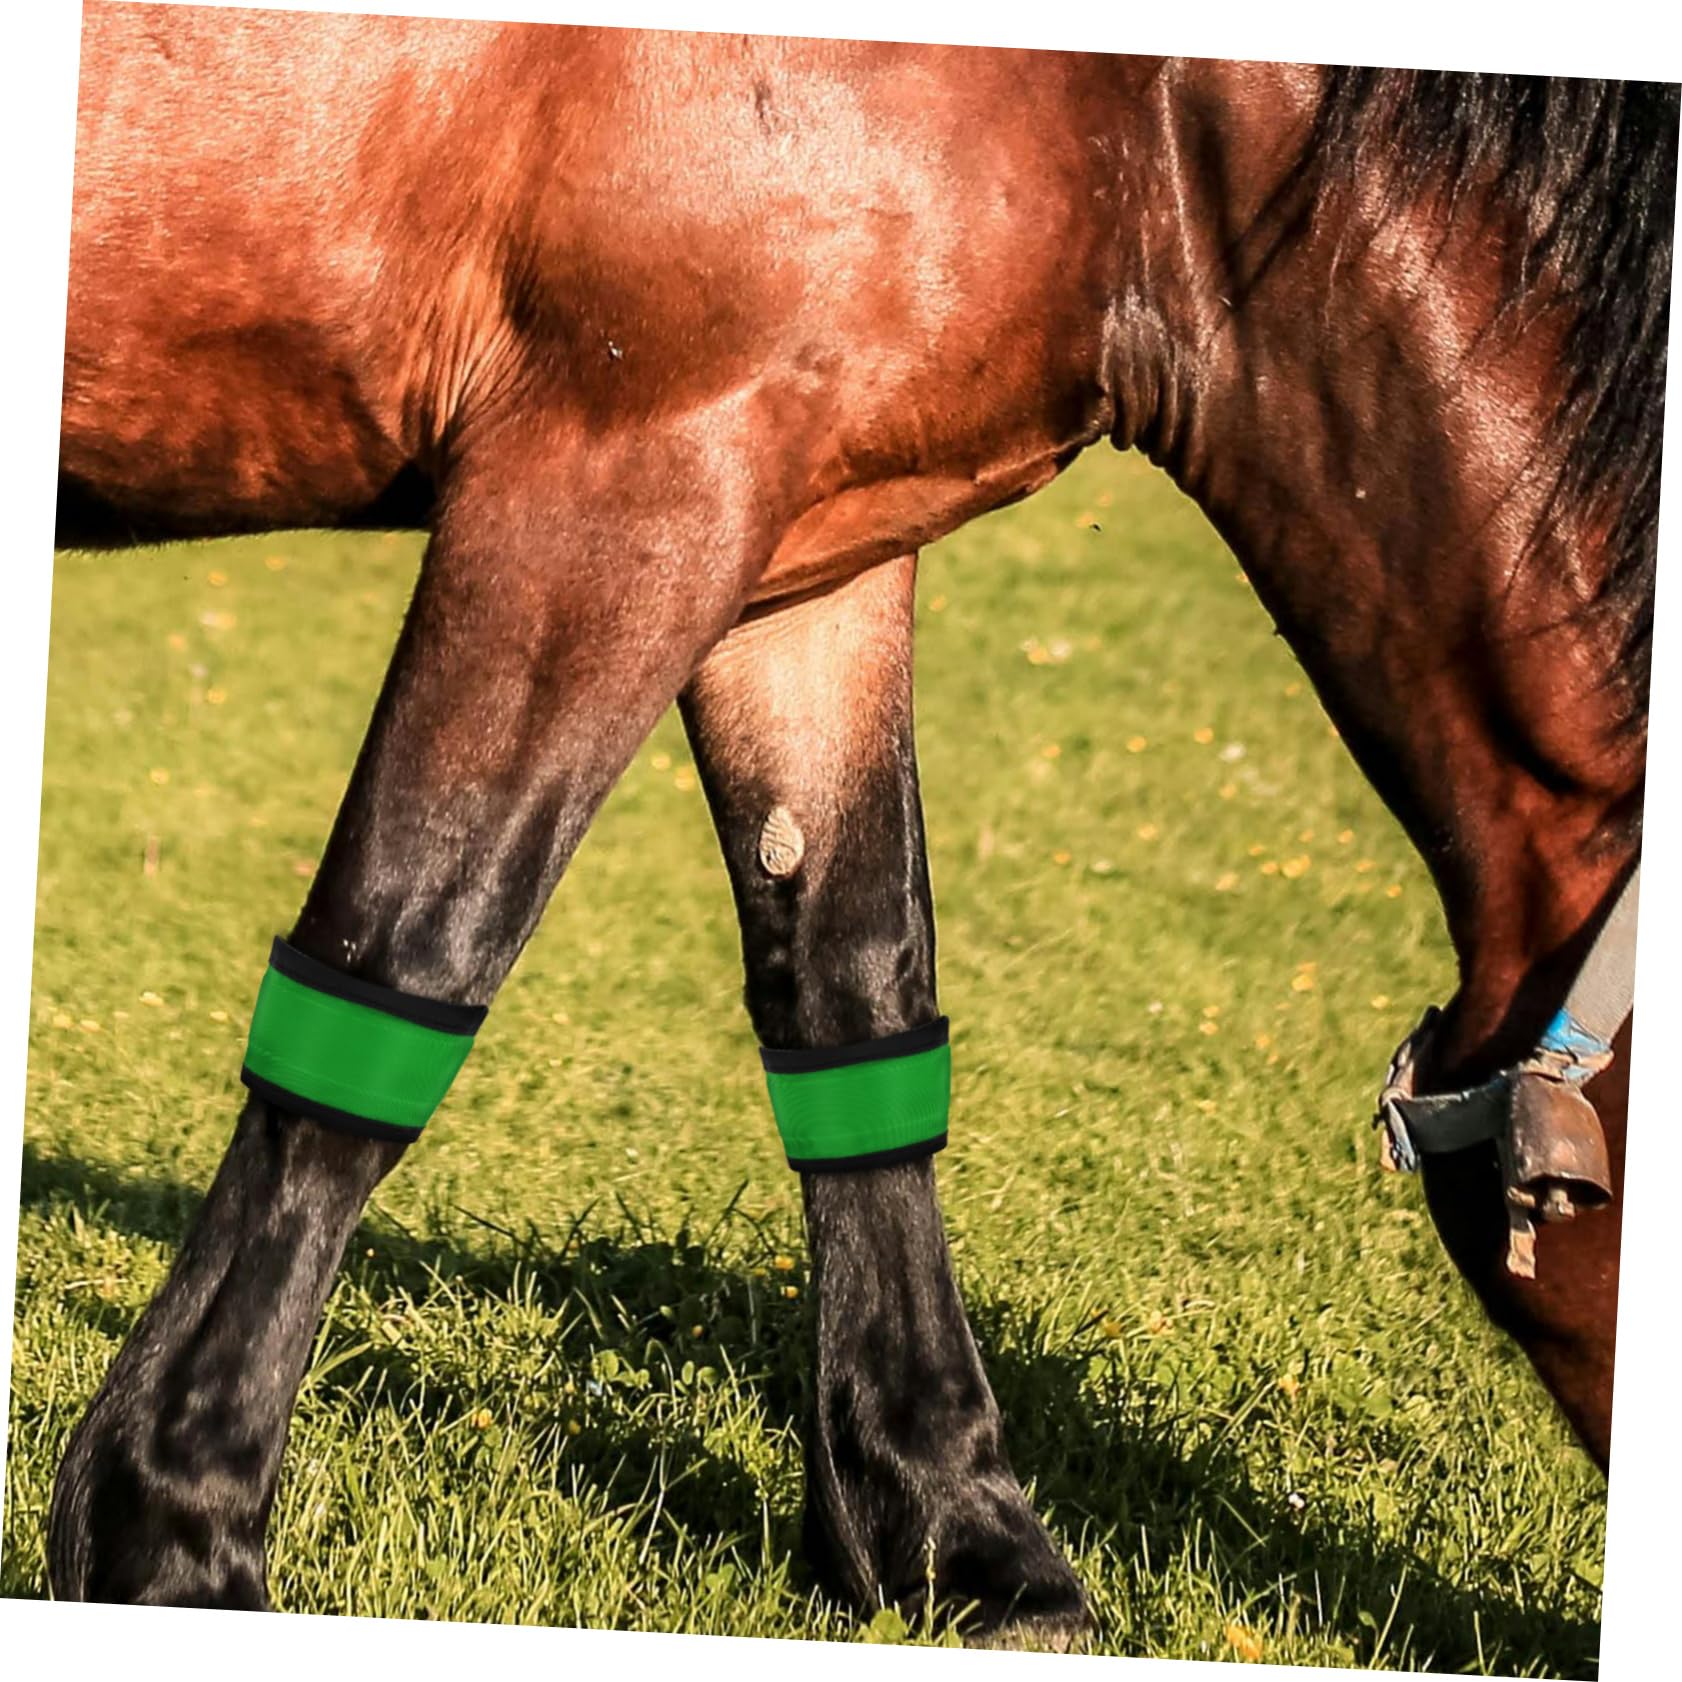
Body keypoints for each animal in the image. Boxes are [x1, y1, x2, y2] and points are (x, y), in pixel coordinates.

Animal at [45, 1, 1674, 1638]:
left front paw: (957, 1528)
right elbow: (401, 967)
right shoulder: (616, 479)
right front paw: (169, 1534)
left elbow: (856, 1004)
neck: (1142, 115)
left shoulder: (809, 549)